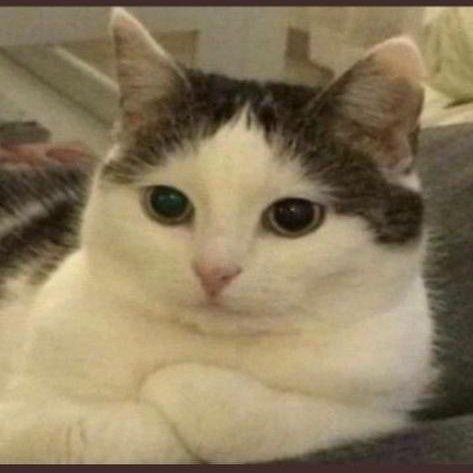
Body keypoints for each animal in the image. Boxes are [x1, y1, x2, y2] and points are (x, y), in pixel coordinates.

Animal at [0, 7, 435, 463]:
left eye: (294, 216)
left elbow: (265, 422)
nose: (214, 270)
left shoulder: (380, 395)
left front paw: (183, 385)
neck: (214, 348)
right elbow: (107, 433)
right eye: (167, 203)